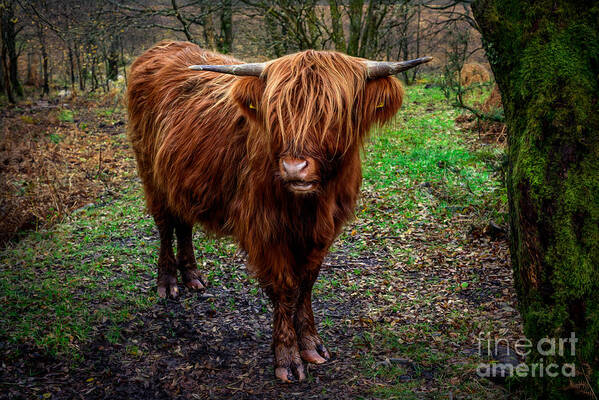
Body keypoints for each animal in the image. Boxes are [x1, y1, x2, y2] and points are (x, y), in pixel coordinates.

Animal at [126, 41, 428, 384]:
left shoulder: (323, 231)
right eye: (277, 112)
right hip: (151, 173)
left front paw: (311, 344)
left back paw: (192, 276)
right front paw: (288, 358)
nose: (294, 168)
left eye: (333, 112)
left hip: (182, 179)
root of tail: (161, 48)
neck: (312, 205)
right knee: (165, 224)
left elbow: (306, 284)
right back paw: (167, 282)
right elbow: (284, 289)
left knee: (184, 224)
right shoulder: (265, 230)